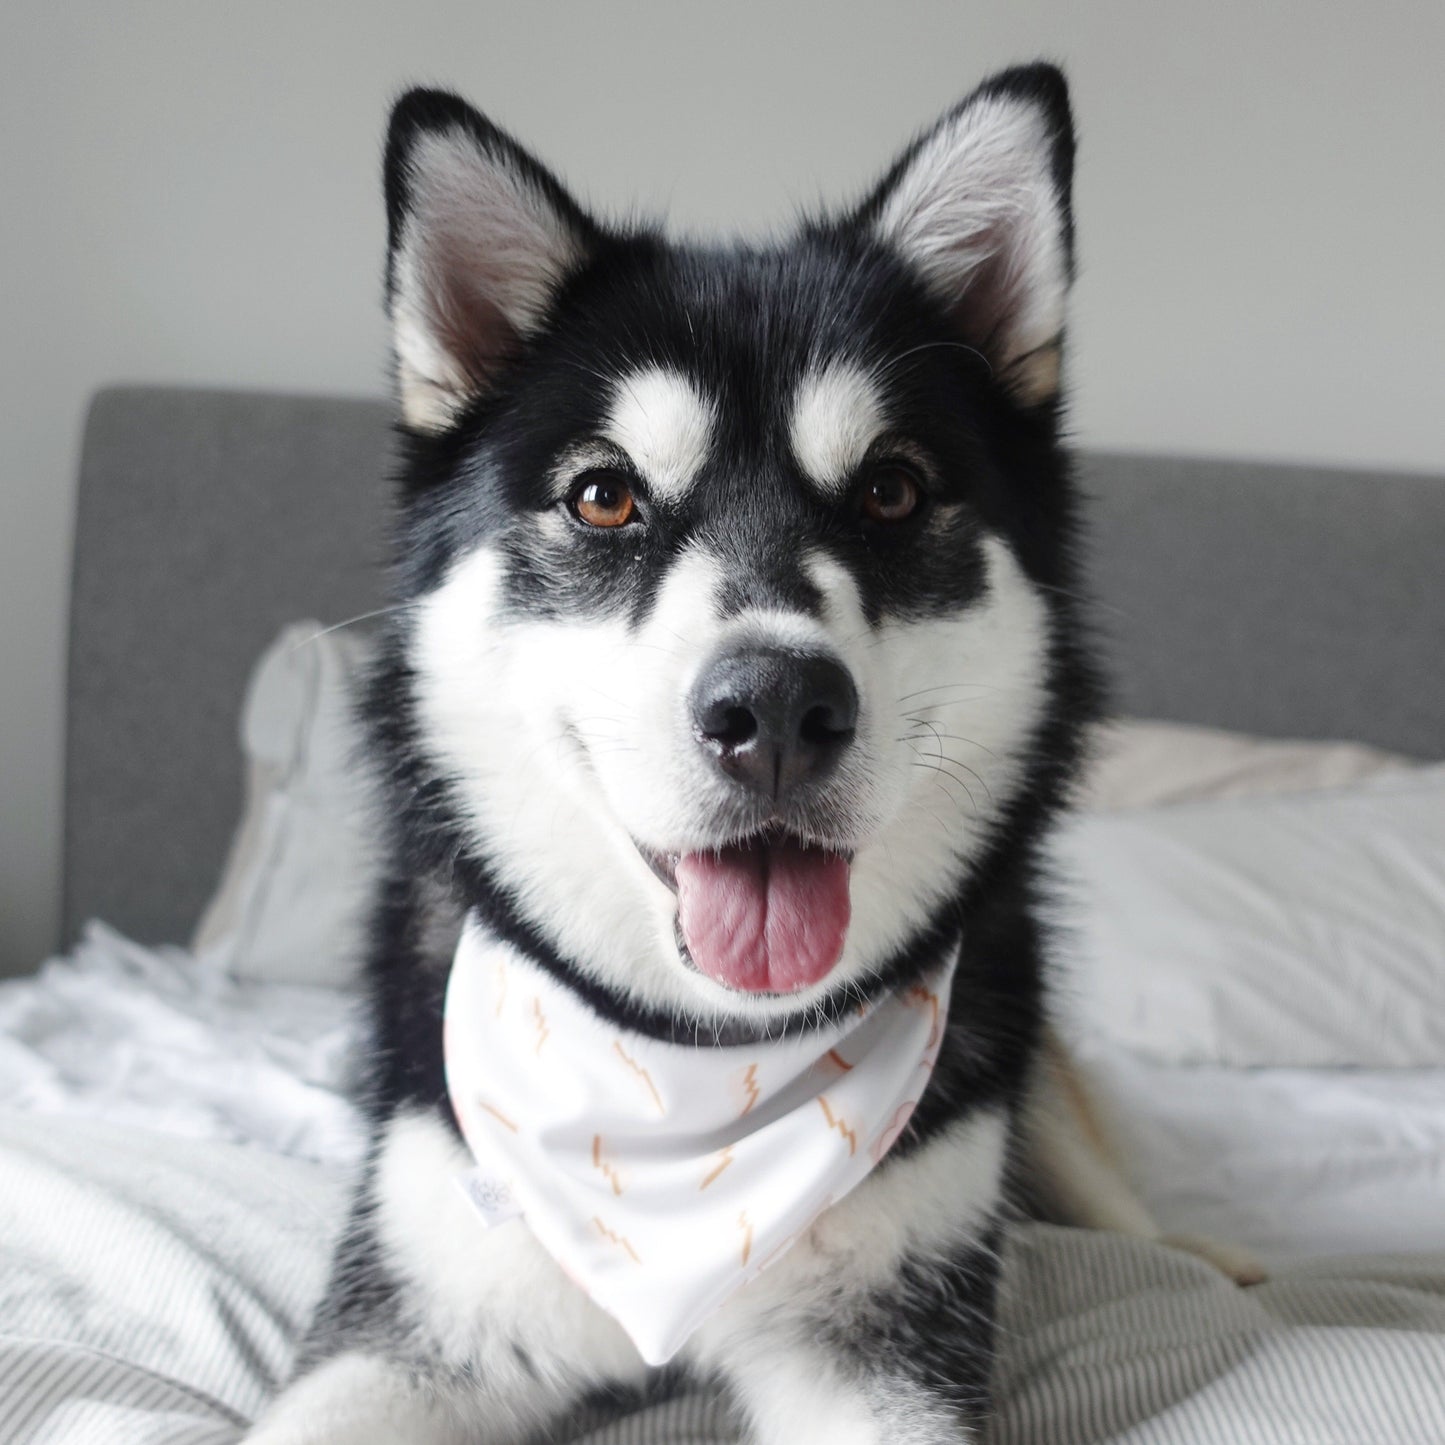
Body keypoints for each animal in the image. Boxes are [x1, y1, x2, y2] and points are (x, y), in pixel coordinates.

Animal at [245, 59, 1231, 1445]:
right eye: (603, 494)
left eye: (889, 490)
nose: (775, 707)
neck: (692, 1071)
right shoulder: (412, 1327)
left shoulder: (881, 1350)